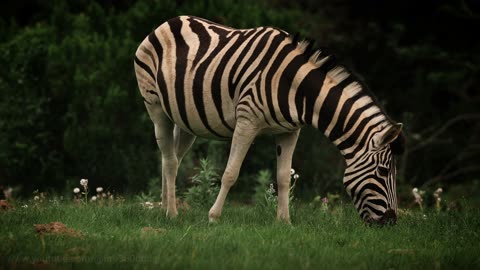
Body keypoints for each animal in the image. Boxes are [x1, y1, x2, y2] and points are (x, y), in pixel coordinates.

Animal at [133, 15, 404, 225]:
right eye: (383, 171)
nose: (391, 221)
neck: (295, 87)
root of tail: (169, 21)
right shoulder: (247, 121)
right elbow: (230, 172)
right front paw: (214, 217)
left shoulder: (290, 131)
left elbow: (283, 177)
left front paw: (284, 222)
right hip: (155, 106)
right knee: (169, 161)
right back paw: (171, 214)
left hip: (186, 121)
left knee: (171, 158)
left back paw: (164, 207)